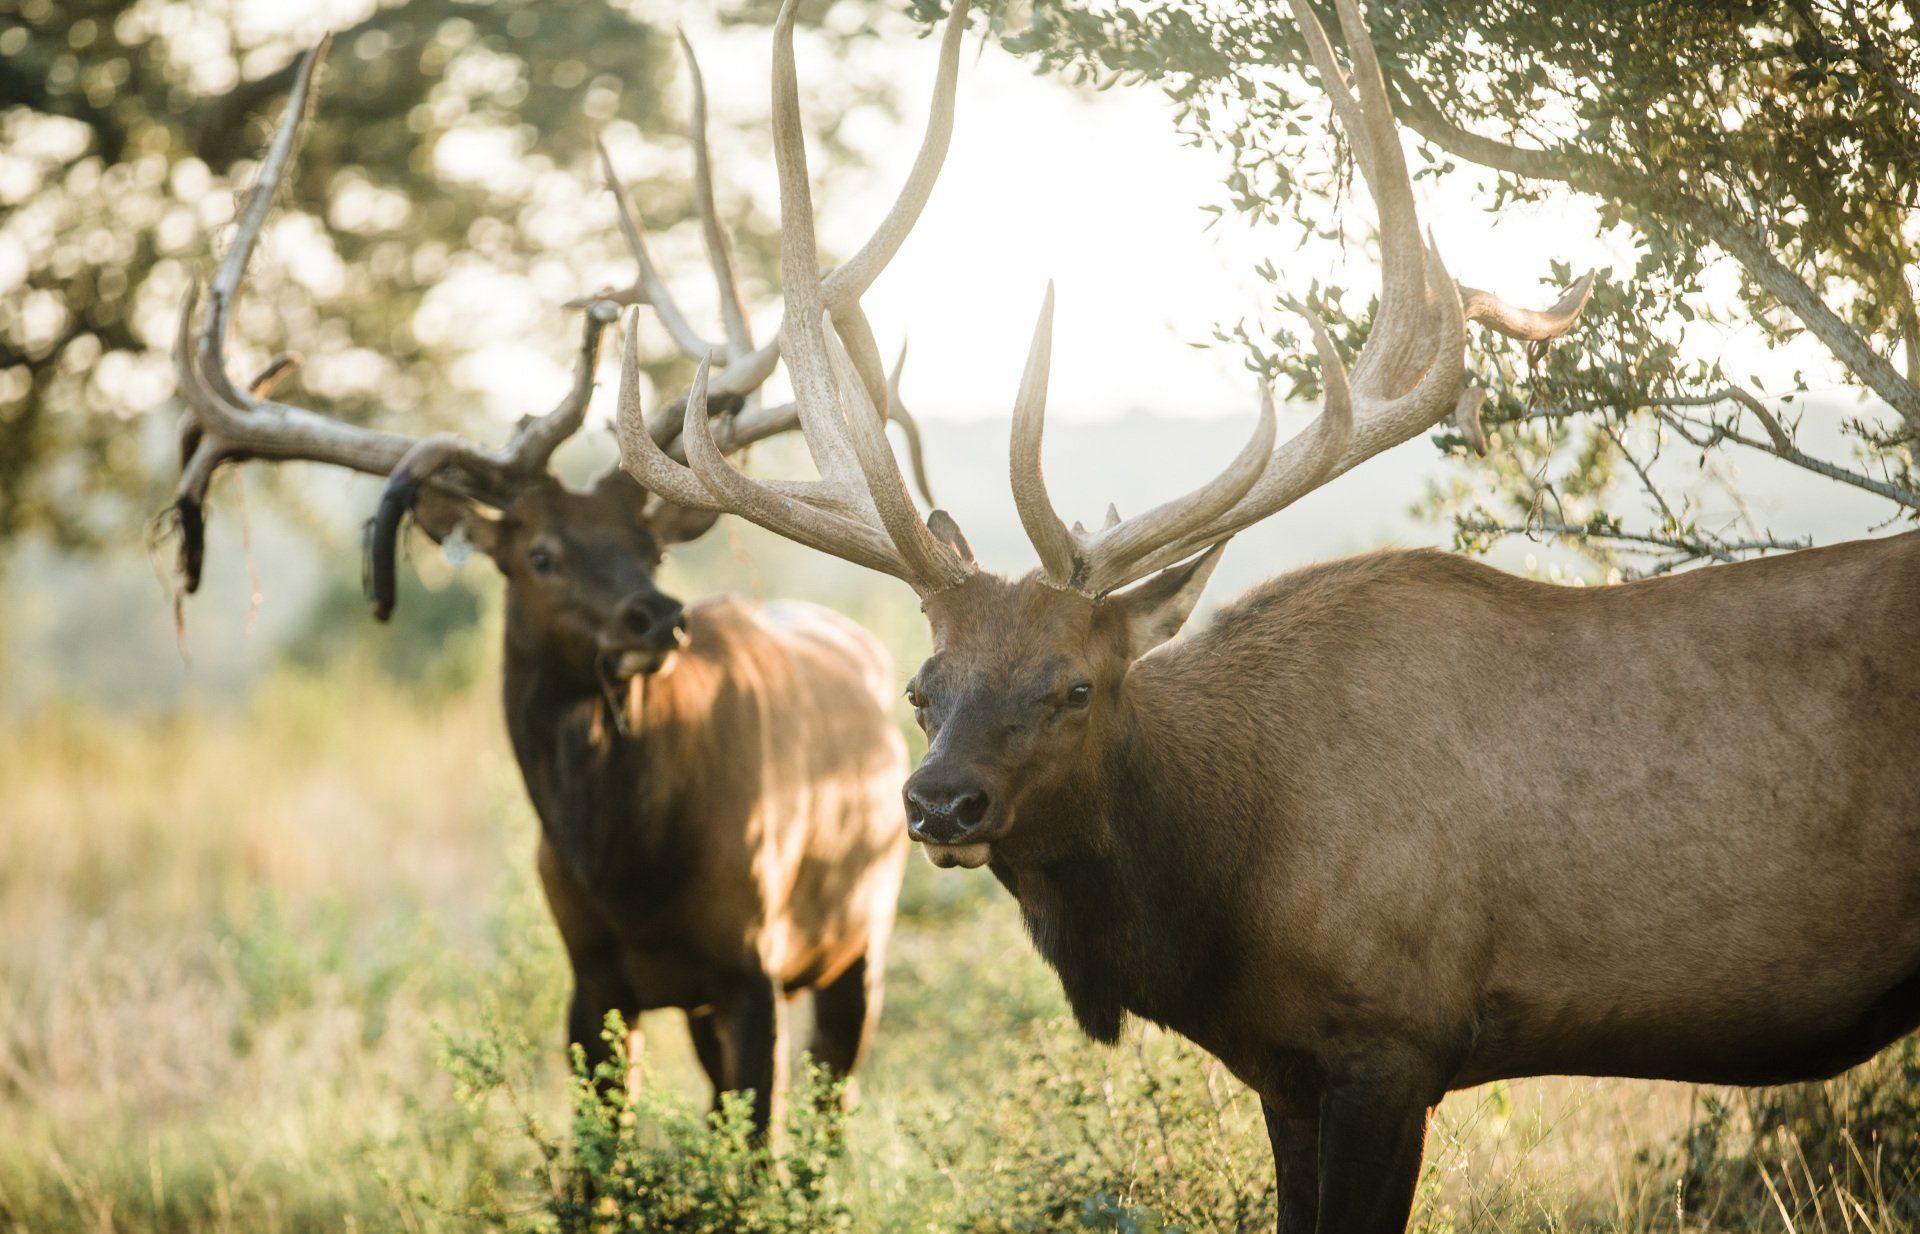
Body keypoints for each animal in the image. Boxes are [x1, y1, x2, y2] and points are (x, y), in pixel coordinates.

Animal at [165, 14, 972, 1135]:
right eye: (540, 555)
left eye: (651, 545)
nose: (658, 618)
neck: (629, 867)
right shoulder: (592, 981)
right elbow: (601, 1155)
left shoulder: (752, 961)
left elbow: (757, 1148)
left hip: (863, 930)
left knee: (827, 1109)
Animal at [619, 0, 1920, 1228]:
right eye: (920, 685)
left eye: (1075, 683)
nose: (938, 802)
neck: (1223, 891)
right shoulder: (1284, 1072)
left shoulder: (1393, 1040)